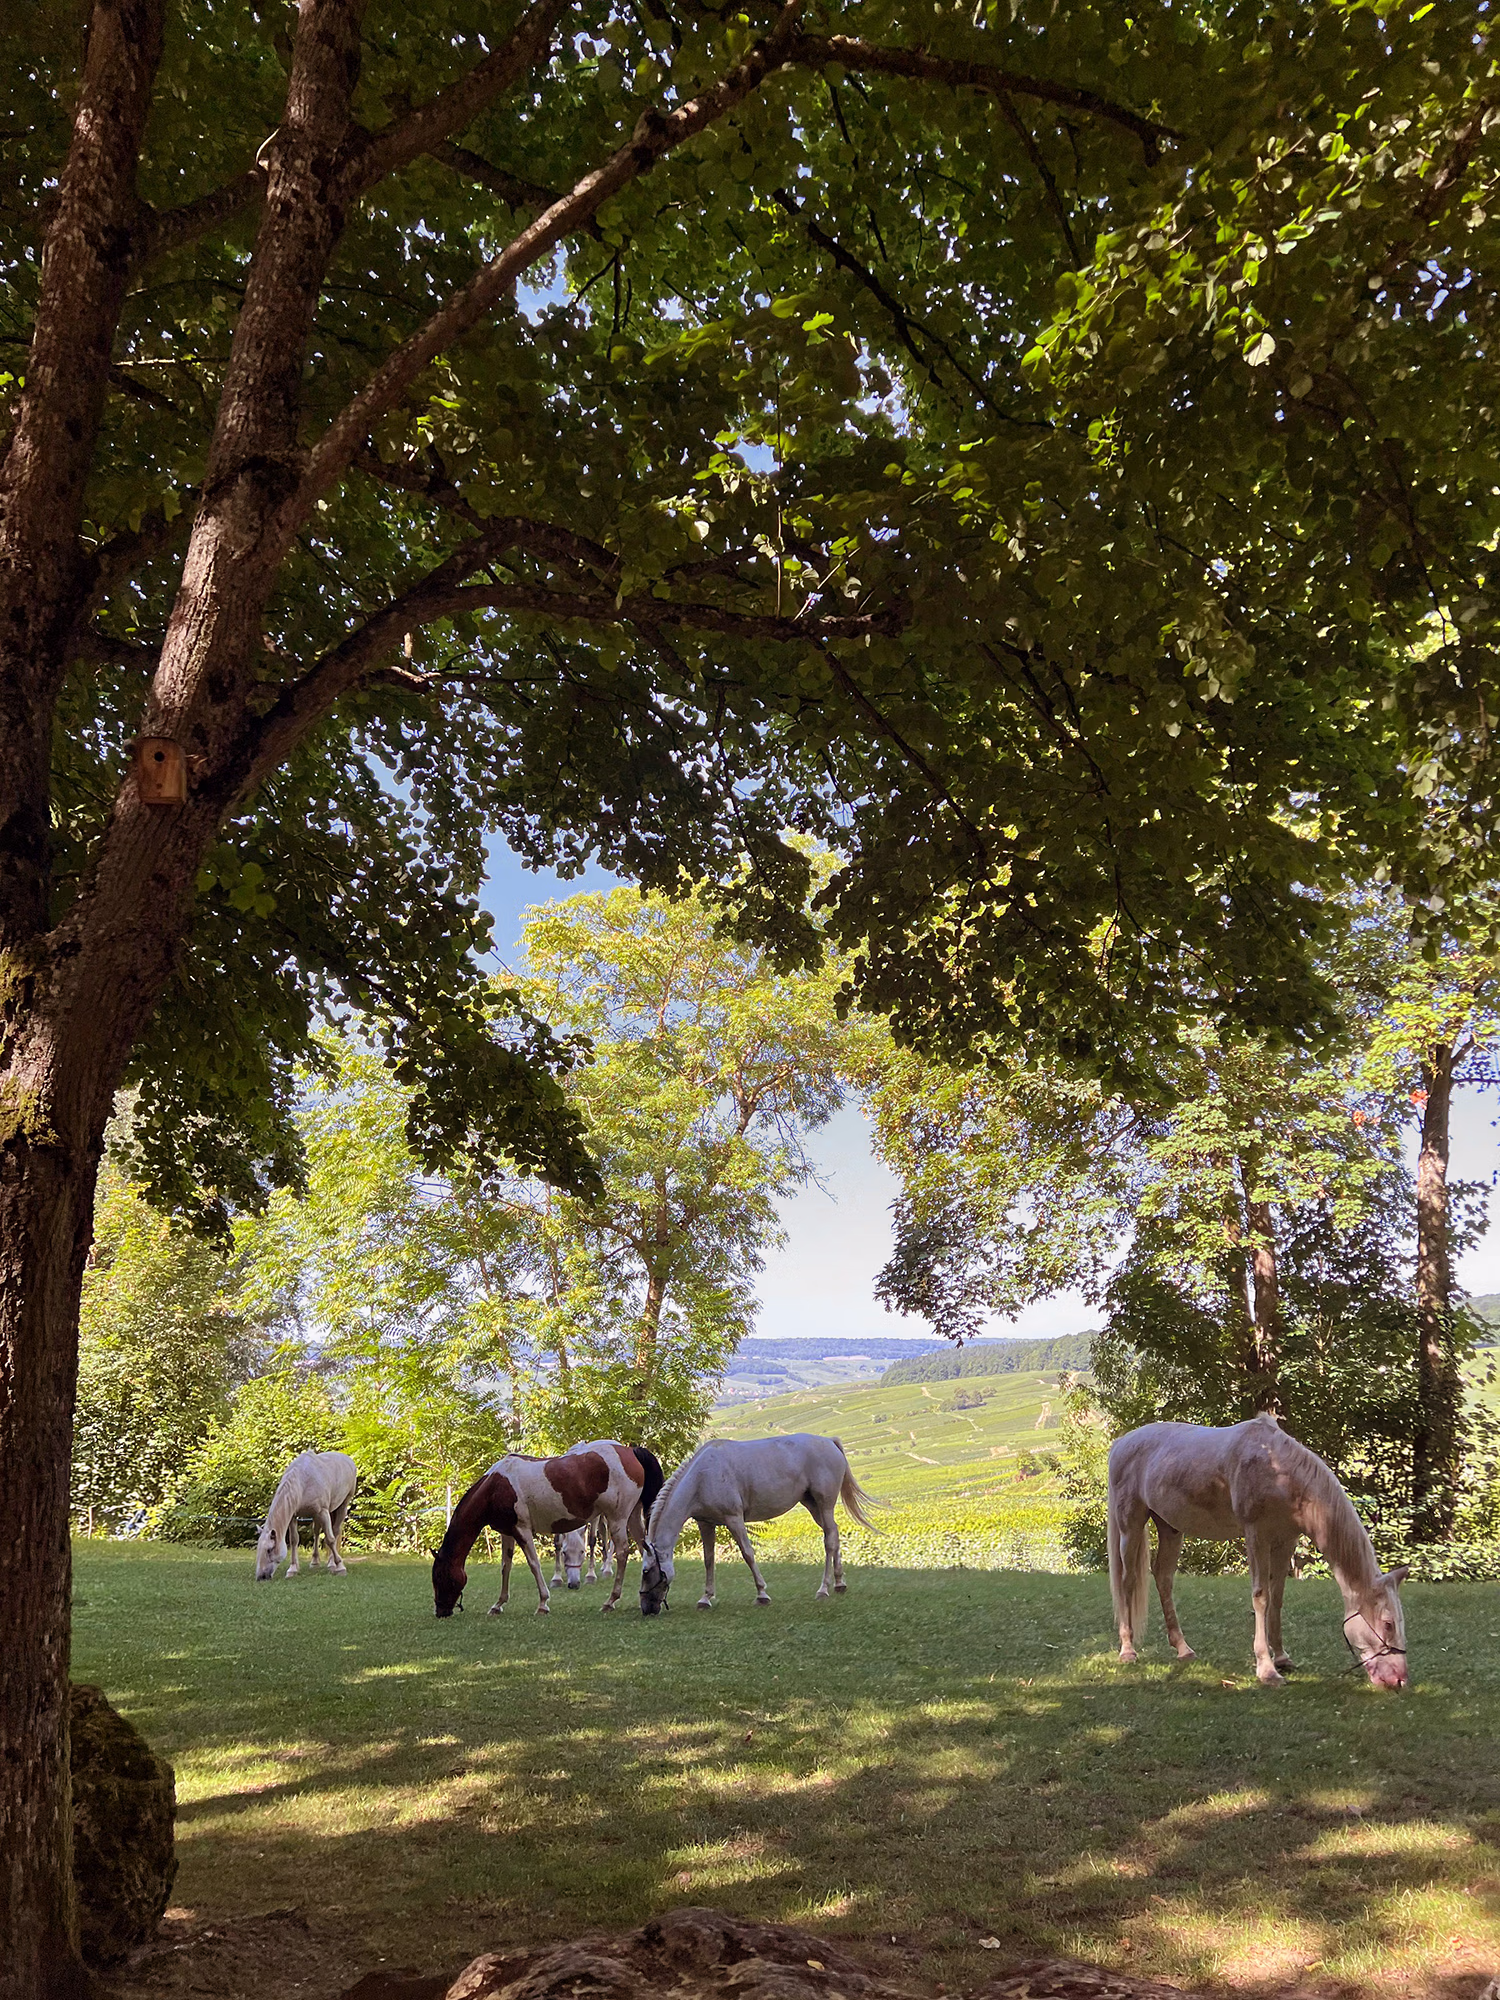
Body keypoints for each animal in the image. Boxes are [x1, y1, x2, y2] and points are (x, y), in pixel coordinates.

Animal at [255, 1450, 359, 1581]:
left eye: (269, 1550)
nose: (261, 1576)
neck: (303, 1482)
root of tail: (348, 1460)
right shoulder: (294, 1516)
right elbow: (294, 1540)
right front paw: (292, 1569)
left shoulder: (323, 1512)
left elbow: (330, 1540)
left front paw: (340, 1567)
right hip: (320, 1514)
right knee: (316, 1532)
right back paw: (315, 1562)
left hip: (343, 1505)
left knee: (335, 1531)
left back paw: (332, 1563)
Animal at [432, 1441, 663, 1618]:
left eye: (440, 1577)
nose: (441, 1612)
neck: (495, 1486)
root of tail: (630, 1451)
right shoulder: (507, 1532)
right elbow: (506, 1566)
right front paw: (498, 1605)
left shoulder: (522, 1530)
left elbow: (534, 1564)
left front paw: (543, 1604)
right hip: (632, 1517)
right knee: (646, 1549)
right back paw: (648, 1598)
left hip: (617, 1518)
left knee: (623, 1553)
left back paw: (610, 1601)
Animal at [639, 1433, 878, 1614]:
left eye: (646, 1571)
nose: (646, 1609)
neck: (702, 1476)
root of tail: (829, 1441)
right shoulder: (706, 1524)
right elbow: (709, 1560)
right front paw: (705, 1599)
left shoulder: (734, 1519)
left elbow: (748, 1554)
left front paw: (762, 1594)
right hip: (813, 1506)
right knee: (834, 1534)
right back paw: (839, 1584)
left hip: (824, 1504)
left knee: (829, 1540)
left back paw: (823, 1589)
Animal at [1107, 1415, 1410, 1688]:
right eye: (1387, 1624)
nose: (1400, 1680)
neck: (1278, 1473)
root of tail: (1121, 1443)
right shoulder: (1256, 1536)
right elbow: (1261, 1597)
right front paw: (1266, 1670)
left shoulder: (1285, 1541)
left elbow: (1277, 1598)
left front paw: (1282, 1658)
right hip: (1130, 1525)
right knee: (1127, 1581)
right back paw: (1128, 1650)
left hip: (1170, 1528)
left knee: (1163, 1577)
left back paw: (1183, 1649)